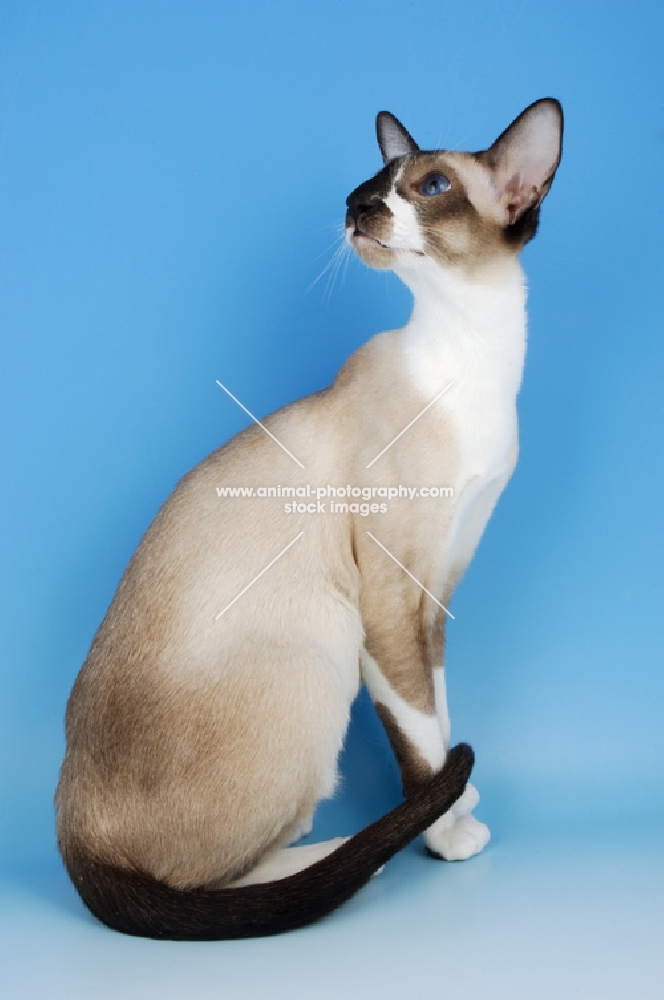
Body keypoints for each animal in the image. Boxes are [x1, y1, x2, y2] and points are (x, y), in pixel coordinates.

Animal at [57, 97, 564, 940]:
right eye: (370, 184)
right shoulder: (389, 605)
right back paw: (352, 856)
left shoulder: (434, 600)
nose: (357, 208)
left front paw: (458, 811)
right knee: (207, 883)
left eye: (430, 186)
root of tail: (72, 839)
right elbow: (423, 745)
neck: (475, 354)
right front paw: (447, 833)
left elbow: (439, 712)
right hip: (326, 637)